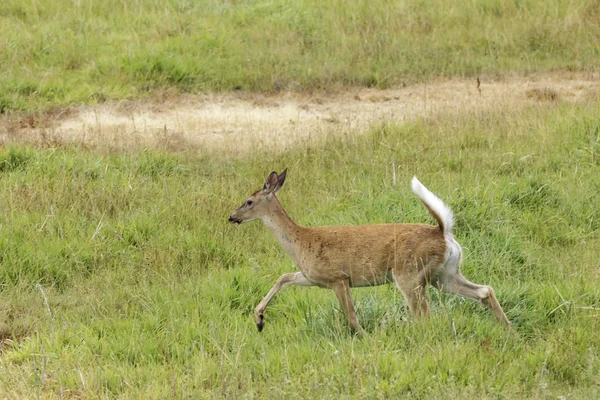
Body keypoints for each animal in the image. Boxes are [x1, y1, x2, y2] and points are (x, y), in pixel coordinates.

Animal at [227, 170, 508, 334]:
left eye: (249, 201)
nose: (232, 217)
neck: (301, 241)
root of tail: (443, 232)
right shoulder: (313, 277)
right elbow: (283, 277)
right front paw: (259, 319)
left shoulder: (338, 277)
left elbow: (350, 316)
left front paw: (362, 336)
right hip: (444, 275)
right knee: (484, 290)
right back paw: (508, 329)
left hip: (409, 274)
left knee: (424, 314)